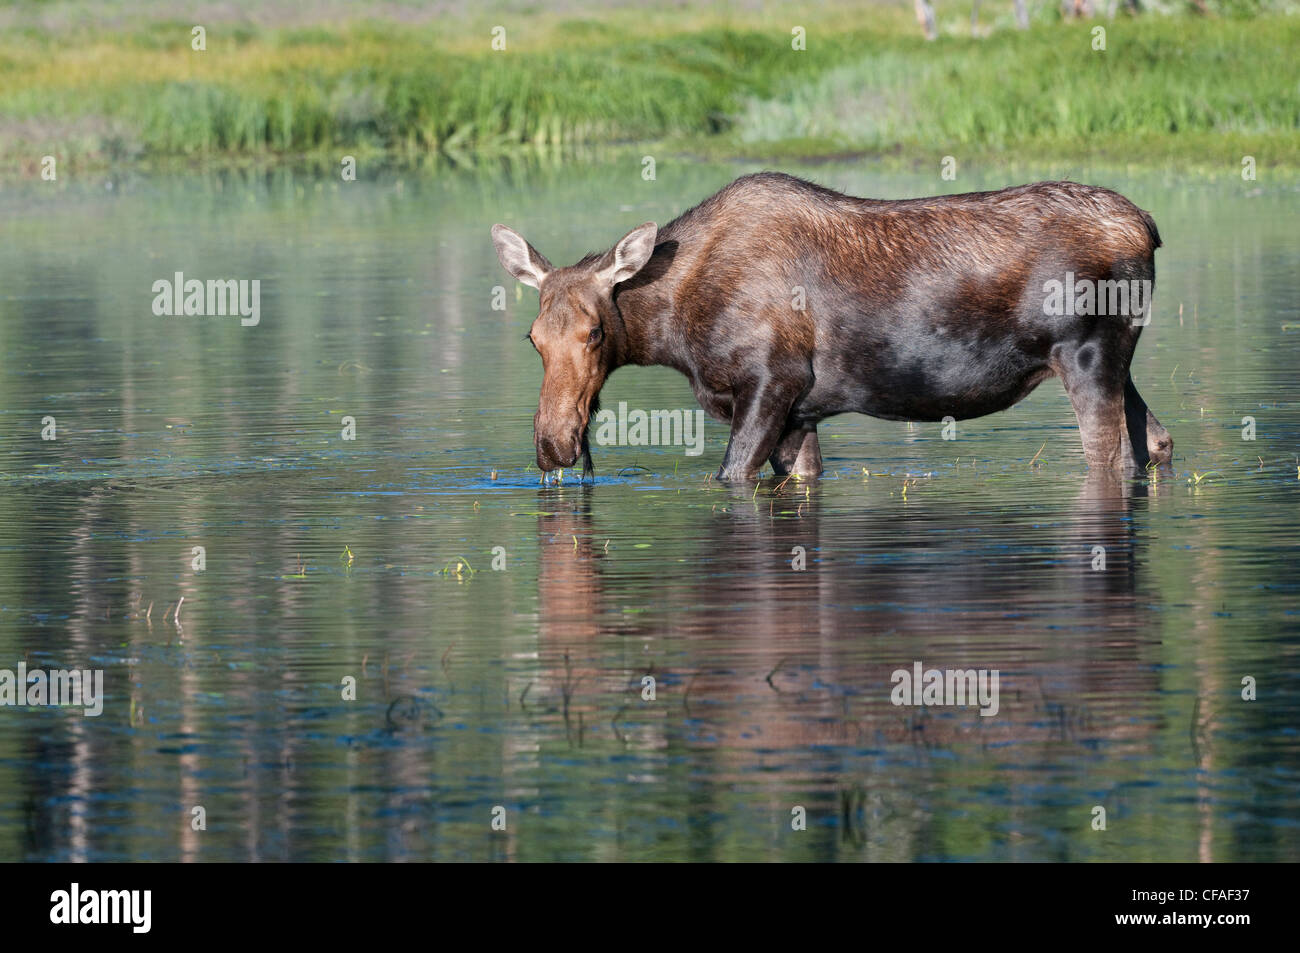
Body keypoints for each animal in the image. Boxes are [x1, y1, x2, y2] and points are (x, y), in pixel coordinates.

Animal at [491, 171, 1175, 478]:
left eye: (595, 333)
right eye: (532, 339)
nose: (553, 443)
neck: (674, 335)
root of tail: (1148, 226)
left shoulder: (770, 383)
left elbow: (730, 477)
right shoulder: (801, 412)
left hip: (1086, 354)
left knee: (1113, 455)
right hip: (1118, 361)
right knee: (1157, 440)